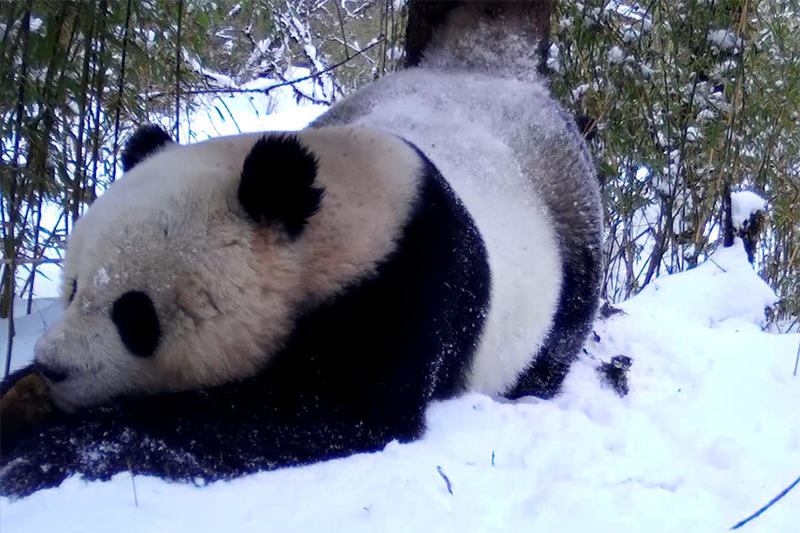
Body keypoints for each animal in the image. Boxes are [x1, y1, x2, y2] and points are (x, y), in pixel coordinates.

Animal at [0, 2, 600, 496]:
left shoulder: (404, 281)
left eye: (134, 315)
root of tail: (489, 67)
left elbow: (322, 414)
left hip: (566, 212)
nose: (53, 366)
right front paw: (18, 397)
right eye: (73, 288)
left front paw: (48, 451)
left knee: (562, 327)